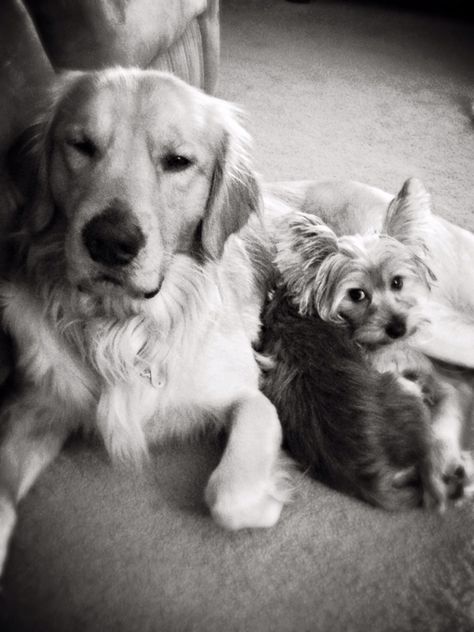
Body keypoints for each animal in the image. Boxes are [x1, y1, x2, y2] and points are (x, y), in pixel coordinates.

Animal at [0, 69, 288, 572]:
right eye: (81, 145)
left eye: (177, 161)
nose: (111, 242)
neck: (123, 326)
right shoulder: (34, 404)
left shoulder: (250, 397)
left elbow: (229, 496)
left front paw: (269, 501)